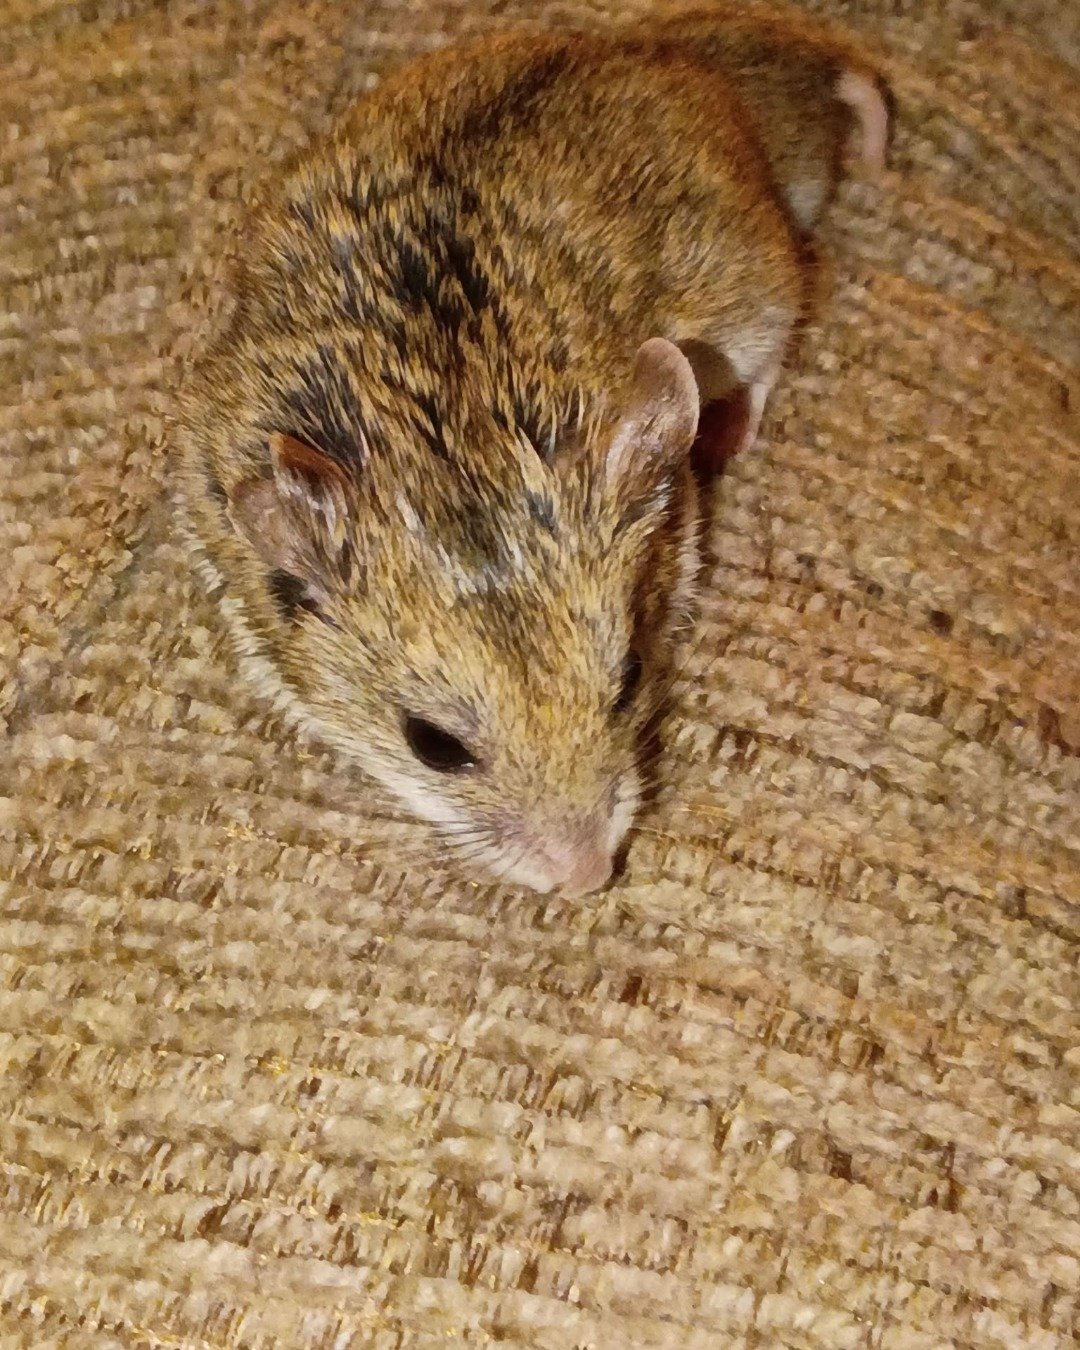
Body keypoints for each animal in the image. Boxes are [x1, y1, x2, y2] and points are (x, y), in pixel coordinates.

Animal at [174, 9, 888, 897]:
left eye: (631, 678)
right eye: (432, 745)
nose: (590, 880)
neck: (446, 440)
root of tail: (662, 52)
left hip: (753, 293)